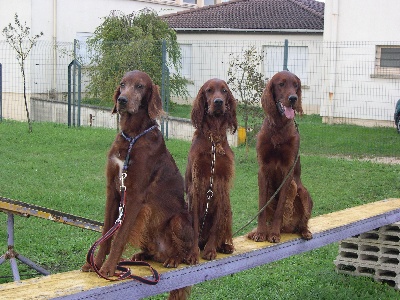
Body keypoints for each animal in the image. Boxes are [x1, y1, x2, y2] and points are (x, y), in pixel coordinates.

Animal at [82, 69, 198, 278]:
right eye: (122, 84)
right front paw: (94, 263)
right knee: (152, 252)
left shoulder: (135, 197)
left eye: (140, 86)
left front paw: (108, 268)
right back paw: (141, 255)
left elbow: (120, 236)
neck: (132, 136)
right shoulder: (113, 191)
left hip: (178, 221)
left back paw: (174, 258)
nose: (122, 100)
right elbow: (106, 233)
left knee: (184, 250)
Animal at [185, 78, 238, 262]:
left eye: (224, 91)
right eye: (209, 90)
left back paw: (223, 246)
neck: (214, 140)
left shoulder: (222, 184)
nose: (218, 102)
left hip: (228, 208)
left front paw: (210, 250)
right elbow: (194, 227)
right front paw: (193, 253)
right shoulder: (195, 186)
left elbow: (216, 226)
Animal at [248, 70, 314, 244]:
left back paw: (304, 231)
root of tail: (288, 227)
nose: (293, 98)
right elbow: (262, 207)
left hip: (304, 193)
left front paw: (274, 233)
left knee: (303, 221)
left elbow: (280, 209)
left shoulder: (287, 171)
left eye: (296, 85)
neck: (278, 127)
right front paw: (260, 232)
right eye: (281, 84)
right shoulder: (263, 169)